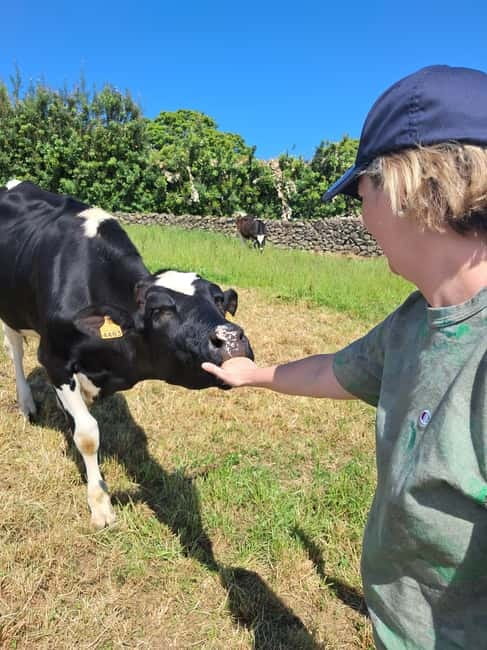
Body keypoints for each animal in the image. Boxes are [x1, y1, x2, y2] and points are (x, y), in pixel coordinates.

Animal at [0, 180, 253, 528]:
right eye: (159, 310)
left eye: (219, 301)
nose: (231, 340)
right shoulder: (55, 359)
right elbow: (88, 433)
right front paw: (100, 504)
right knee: (14, 348)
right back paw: (27, 404)